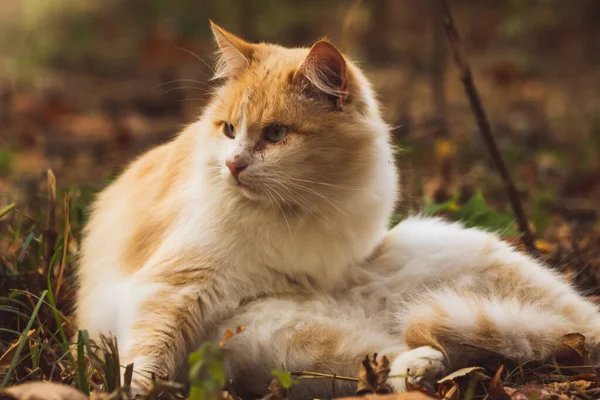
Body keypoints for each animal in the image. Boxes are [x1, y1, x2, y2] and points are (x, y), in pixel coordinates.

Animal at [76, 22, 600, 400]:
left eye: (275, 134)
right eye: (228, 130)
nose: (233, 164)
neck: (299, 208)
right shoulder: (173, 286)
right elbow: (148, 352)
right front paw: (139, 390)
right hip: (275, 337)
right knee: (391, 354)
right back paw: (423, 368)